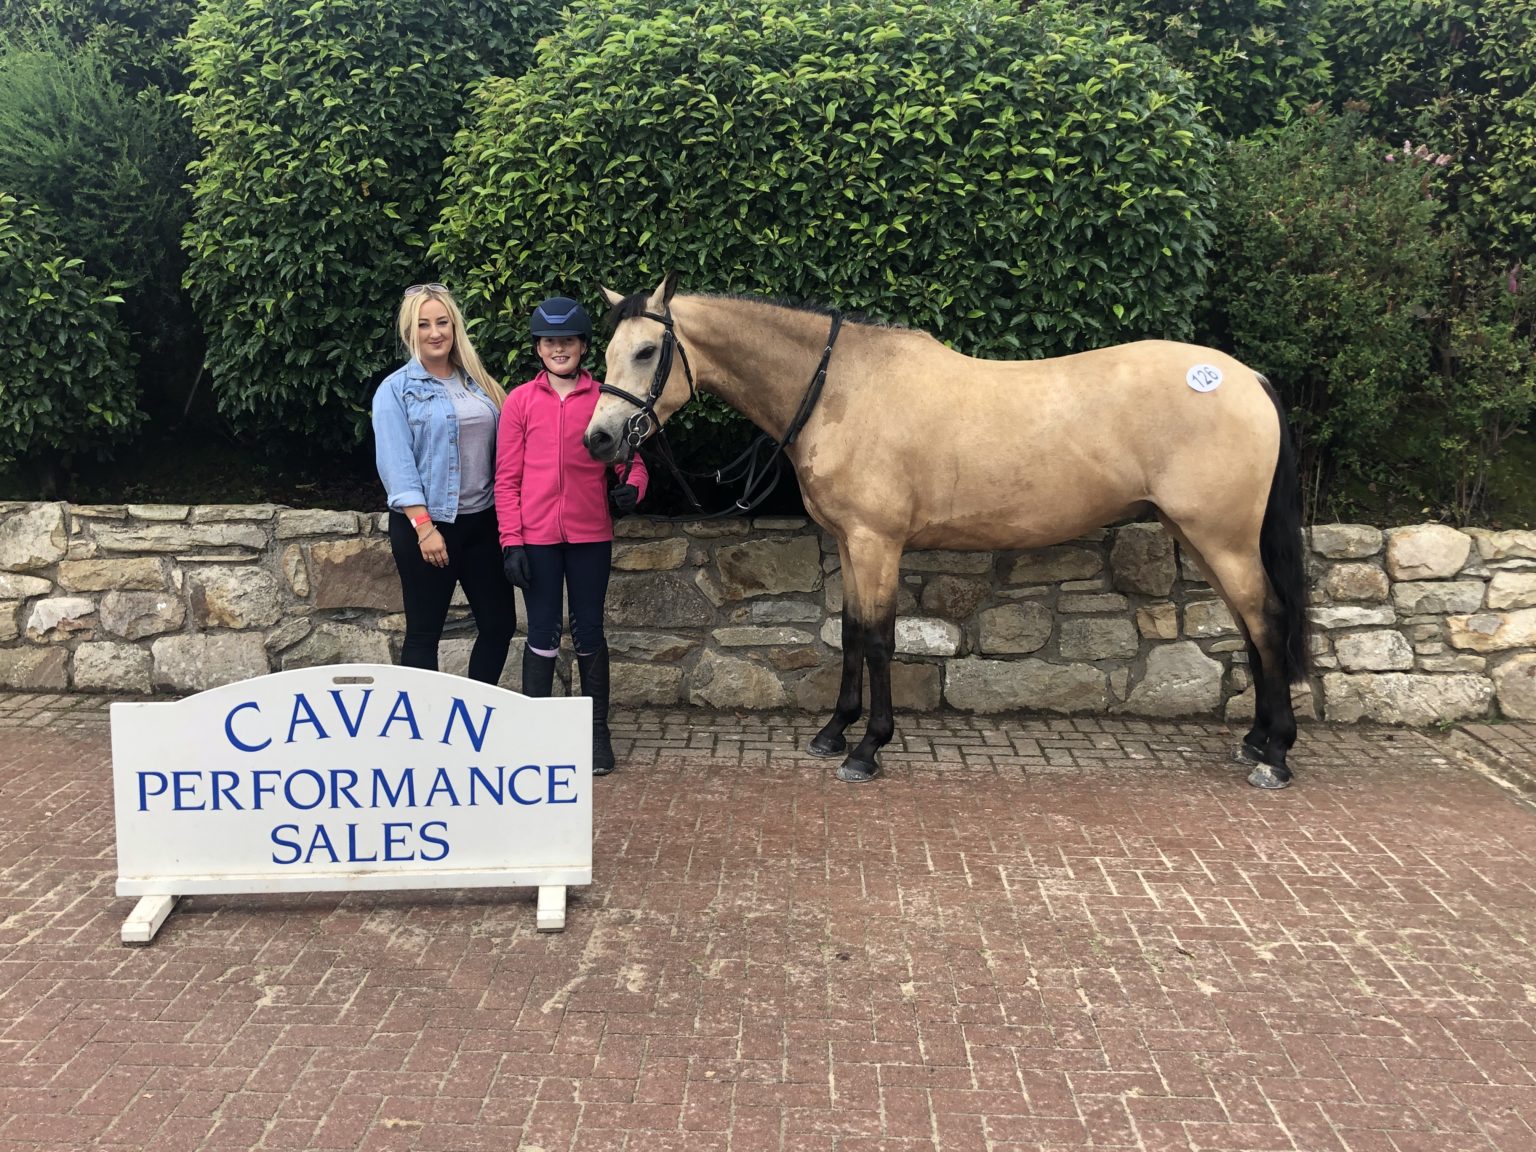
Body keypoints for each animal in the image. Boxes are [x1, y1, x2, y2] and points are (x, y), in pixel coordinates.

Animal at [583, 275, 1309, 789]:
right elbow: (851, 633)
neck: (841, 388)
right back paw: (1255, 739)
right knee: (1249, 624)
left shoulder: (877, 541)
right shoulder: (849, 543)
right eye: (607, 353)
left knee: (1267, 619)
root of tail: (1245, 378)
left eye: (647, 351)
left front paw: (867, 749)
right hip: (1199, 534)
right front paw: (833, 732)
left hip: (1222, 537)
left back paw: (1275, 755)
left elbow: (879, 639)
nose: (599, 439)